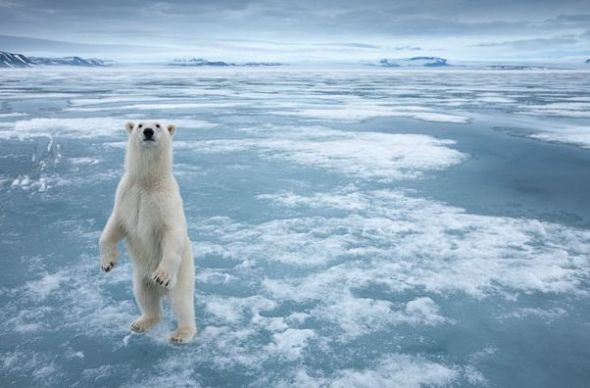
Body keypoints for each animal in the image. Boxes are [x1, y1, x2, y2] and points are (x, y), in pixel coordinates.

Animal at [99, 120, 197, 342]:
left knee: (182, 302)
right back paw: (141, 322)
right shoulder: (126, 196)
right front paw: (108, 263)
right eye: (140, 124)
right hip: (140, 276)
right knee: (144, 296)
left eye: (158, 125)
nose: (148, 131)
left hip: (183, 273)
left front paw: (161, 275)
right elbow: (114, 226)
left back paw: (181, 333)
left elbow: (172, 232)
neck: (147, 181)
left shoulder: (165, 201)